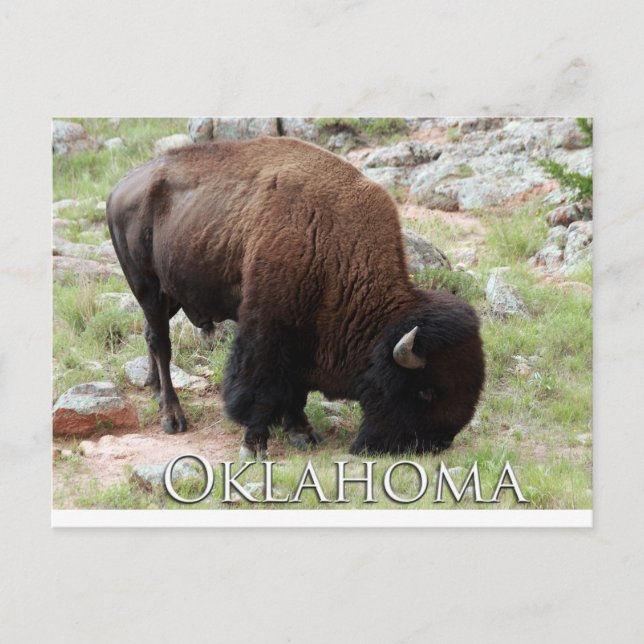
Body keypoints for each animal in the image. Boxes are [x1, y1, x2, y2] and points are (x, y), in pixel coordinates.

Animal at [107, 136, 484, 458]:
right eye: (426, 391)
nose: (437, 443)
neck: (335, 248)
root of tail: (119, 187)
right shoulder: (268, 329)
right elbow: (260, 387)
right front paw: (255, 445)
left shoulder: (304, 336)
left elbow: (295, 389)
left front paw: (302, 432)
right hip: (148, 287)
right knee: (161, 342)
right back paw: (172, 417)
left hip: (171, 295)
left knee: (150, 335)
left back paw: (154, 391)